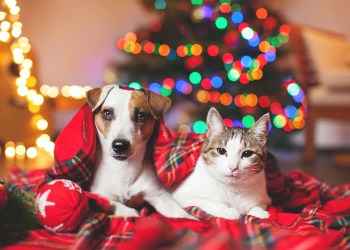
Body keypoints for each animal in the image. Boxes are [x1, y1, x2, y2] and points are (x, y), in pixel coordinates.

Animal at [85, 84, 194, 219]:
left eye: (140, 115)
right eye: (107, 113)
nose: (120, 145)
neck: (123, 168)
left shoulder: (159, 195)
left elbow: (181, 213)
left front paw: (193, 219)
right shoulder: (98, 194)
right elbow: (111, 202)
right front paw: (128, 211)